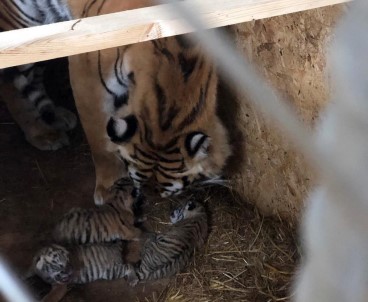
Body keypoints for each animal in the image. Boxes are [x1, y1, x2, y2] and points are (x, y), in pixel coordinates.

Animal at [0, 0, 230, 203]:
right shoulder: (86, 77)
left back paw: (56, 116)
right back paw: (42, 133)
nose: (148, 197)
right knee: (12, 84)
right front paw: (109, 188)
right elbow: (99, 140)